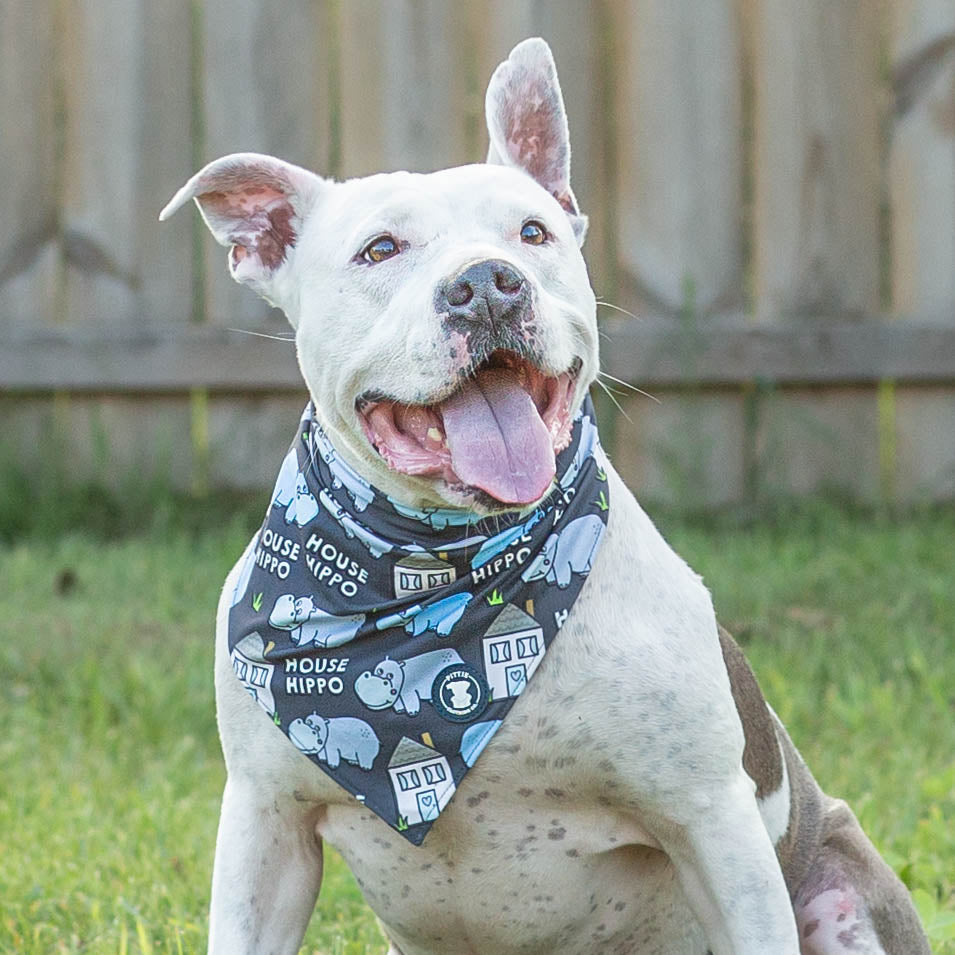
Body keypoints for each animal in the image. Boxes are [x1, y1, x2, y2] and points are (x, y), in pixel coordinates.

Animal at [162, 37, 928, 955]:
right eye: (379, 250)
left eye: (533, 233)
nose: (489, 283)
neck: (439, 571)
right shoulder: (266, 826)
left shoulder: (714, 825)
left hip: (836, 879)